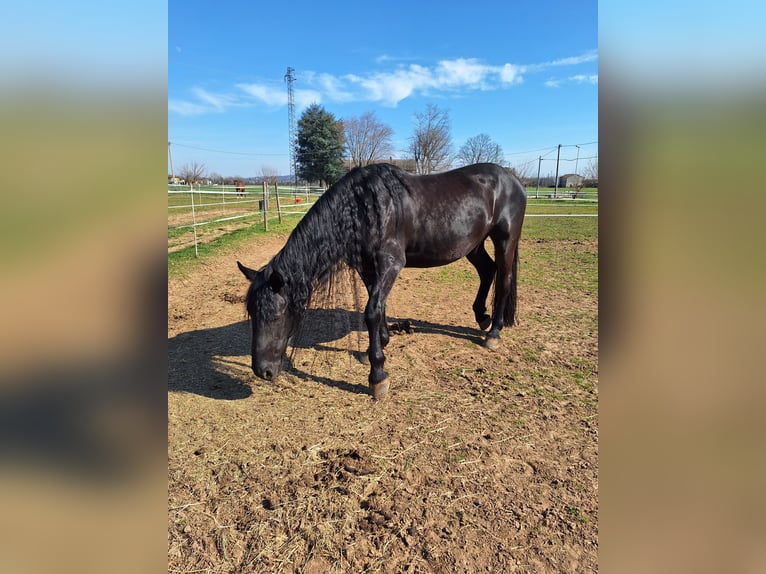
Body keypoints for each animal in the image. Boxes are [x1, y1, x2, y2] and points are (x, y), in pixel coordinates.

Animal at [240, 162, 528, 400]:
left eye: (277, 315)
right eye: (252, 314)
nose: (262, 371)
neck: (362, 209)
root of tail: (512, 179)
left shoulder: (391, 263)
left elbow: (372, 310)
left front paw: (377, 374)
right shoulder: (367, 268)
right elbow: (377, 305)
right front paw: (382, 342)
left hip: (505, 240)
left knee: (503, 280)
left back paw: (493, 333)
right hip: (473, 245)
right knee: (487, 271)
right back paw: (481, 316)